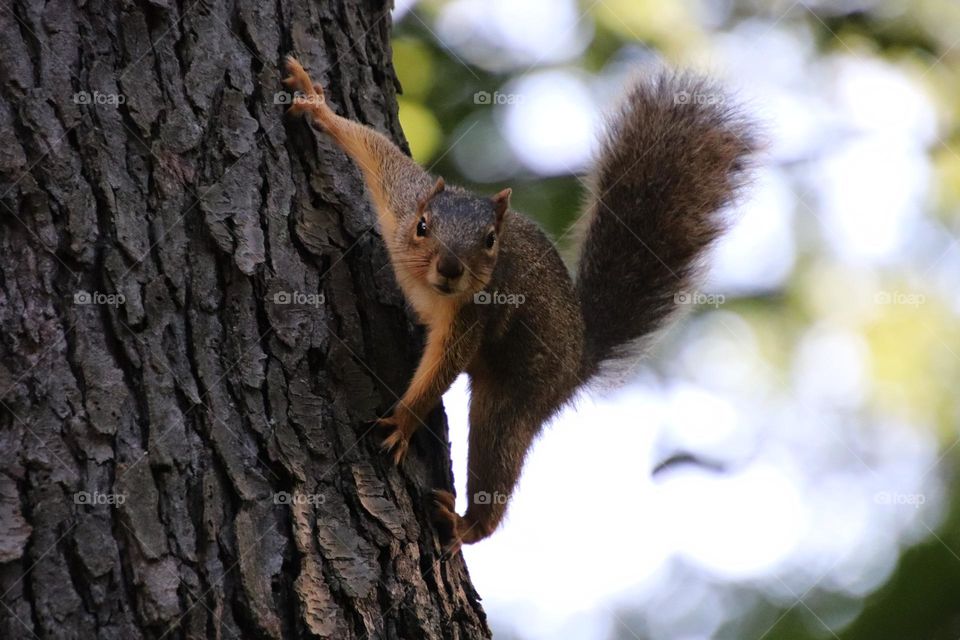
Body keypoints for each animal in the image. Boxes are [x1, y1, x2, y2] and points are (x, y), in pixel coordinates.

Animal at [282, 57, 752, 552]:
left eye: (491, 240)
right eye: (423, 226)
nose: (450, 268)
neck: (431, 288)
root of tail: (577, 363)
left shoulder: (476, 314)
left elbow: (445, 367)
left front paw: (404, 422)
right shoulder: (402, 198)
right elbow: (374, 148)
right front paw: (315, 102)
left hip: (513, 402)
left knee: (496, 465)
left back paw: (467, 525)